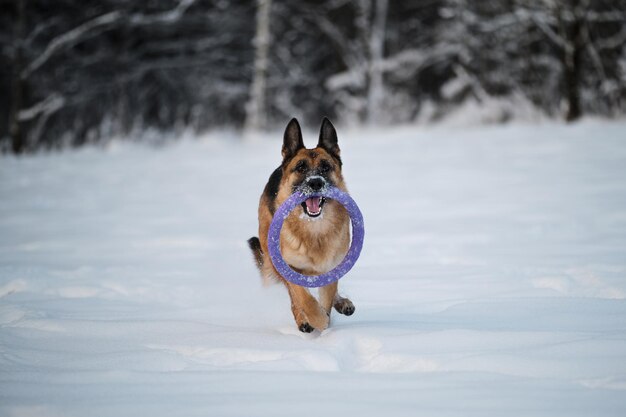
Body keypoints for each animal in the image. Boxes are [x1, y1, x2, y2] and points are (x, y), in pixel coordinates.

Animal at [246, 117, 354, 332]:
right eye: (301, 168)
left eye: (325, 167)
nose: (315, 183)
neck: (313, 229)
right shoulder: (288, 268)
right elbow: (303, 298)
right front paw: (315, 319)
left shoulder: (330, 268)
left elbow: (327, 296)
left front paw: (326, 320)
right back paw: (303, 320)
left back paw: (342, 303)